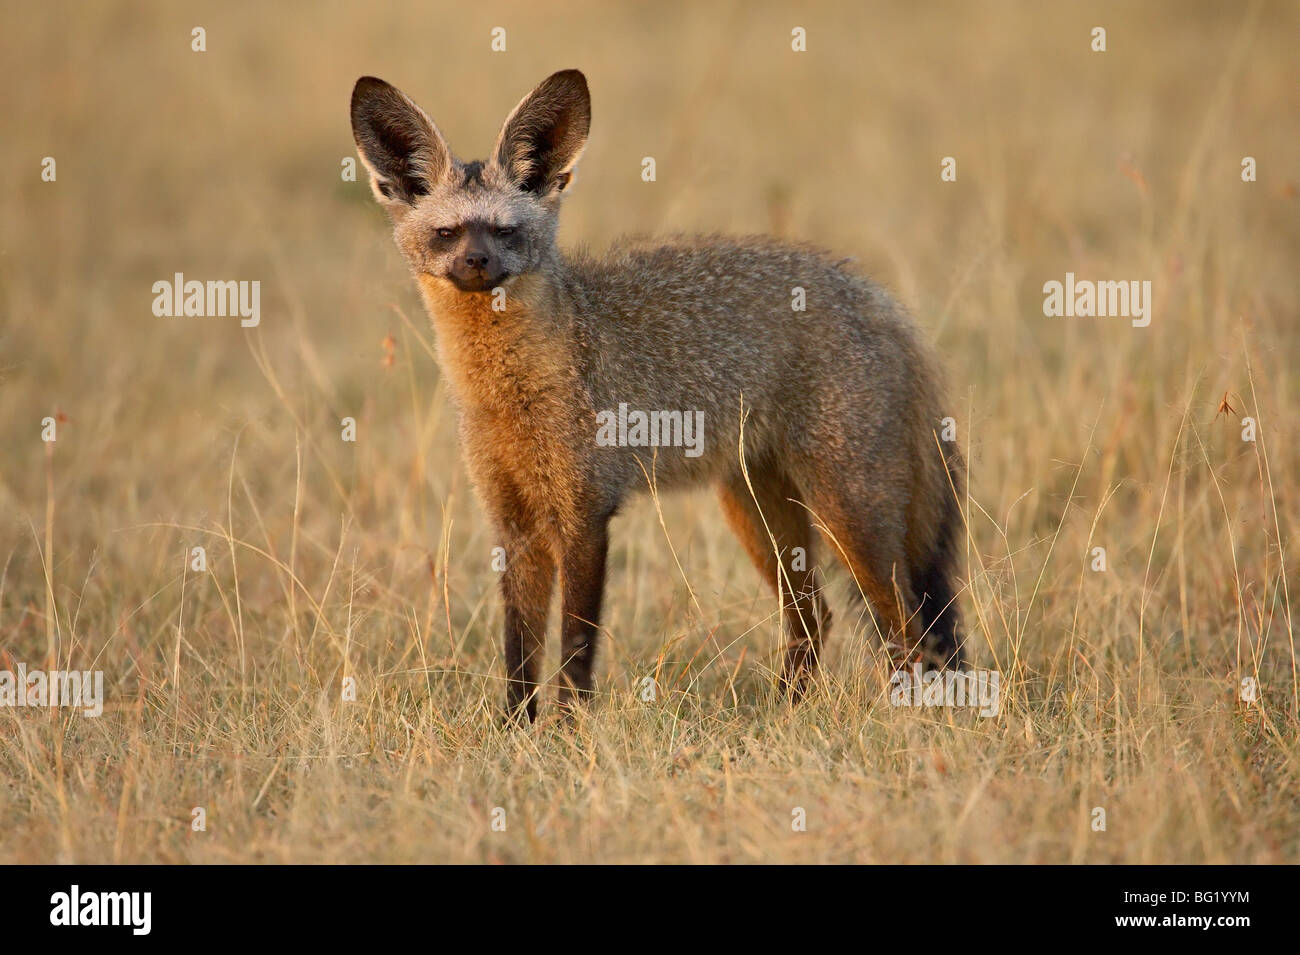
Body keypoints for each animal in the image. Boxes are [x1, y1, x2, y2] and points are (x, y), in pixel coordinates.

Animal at [350, 69, 966, 723]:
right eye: (446, 233)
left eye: (504, 231)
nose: (476, 262)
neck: (512, 392)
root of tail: (879, 297)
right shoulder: (514, 524)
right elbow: (519, 651)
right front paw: (515, 729)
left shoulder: (586, 513)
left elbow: (575, 647)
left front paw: (567, 730)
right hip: (758, 512)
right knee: (815, 618)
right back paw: (782, 715)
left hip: (849, 515)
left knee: (907, 631)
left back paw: (908, 722)